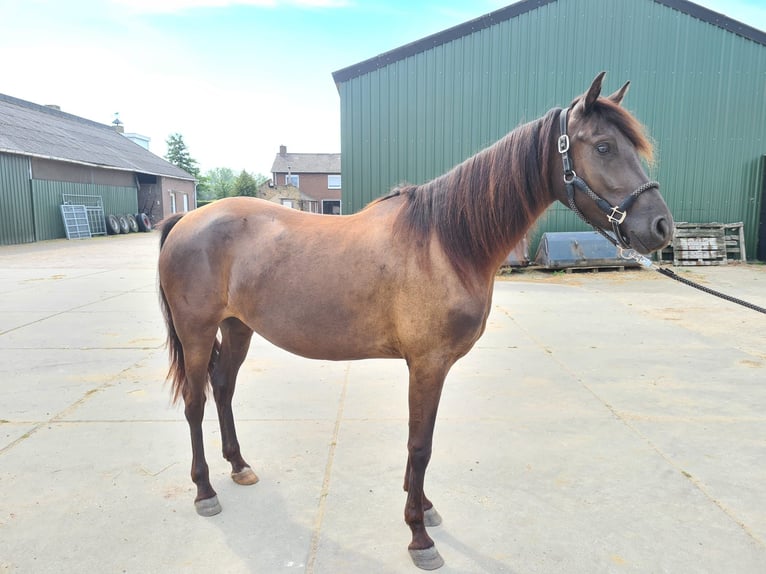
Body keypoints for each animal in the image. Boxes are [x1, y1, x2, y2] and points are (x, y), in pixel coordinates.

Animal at [160, 74, 672, 572]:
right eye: (603, 146)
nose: (661, 227)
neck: (445, 243)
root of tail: (185, 219)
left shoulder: (430, 366)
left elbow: (421, 442)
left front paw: (423, 508)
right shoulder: (427, 363)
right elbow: (420, 445)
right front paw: (419, 537)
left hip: (237, 326)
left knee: (223, 387)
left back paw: (238, 466)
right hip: (197, 332)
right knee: (195, 401)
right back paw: (205, 491)